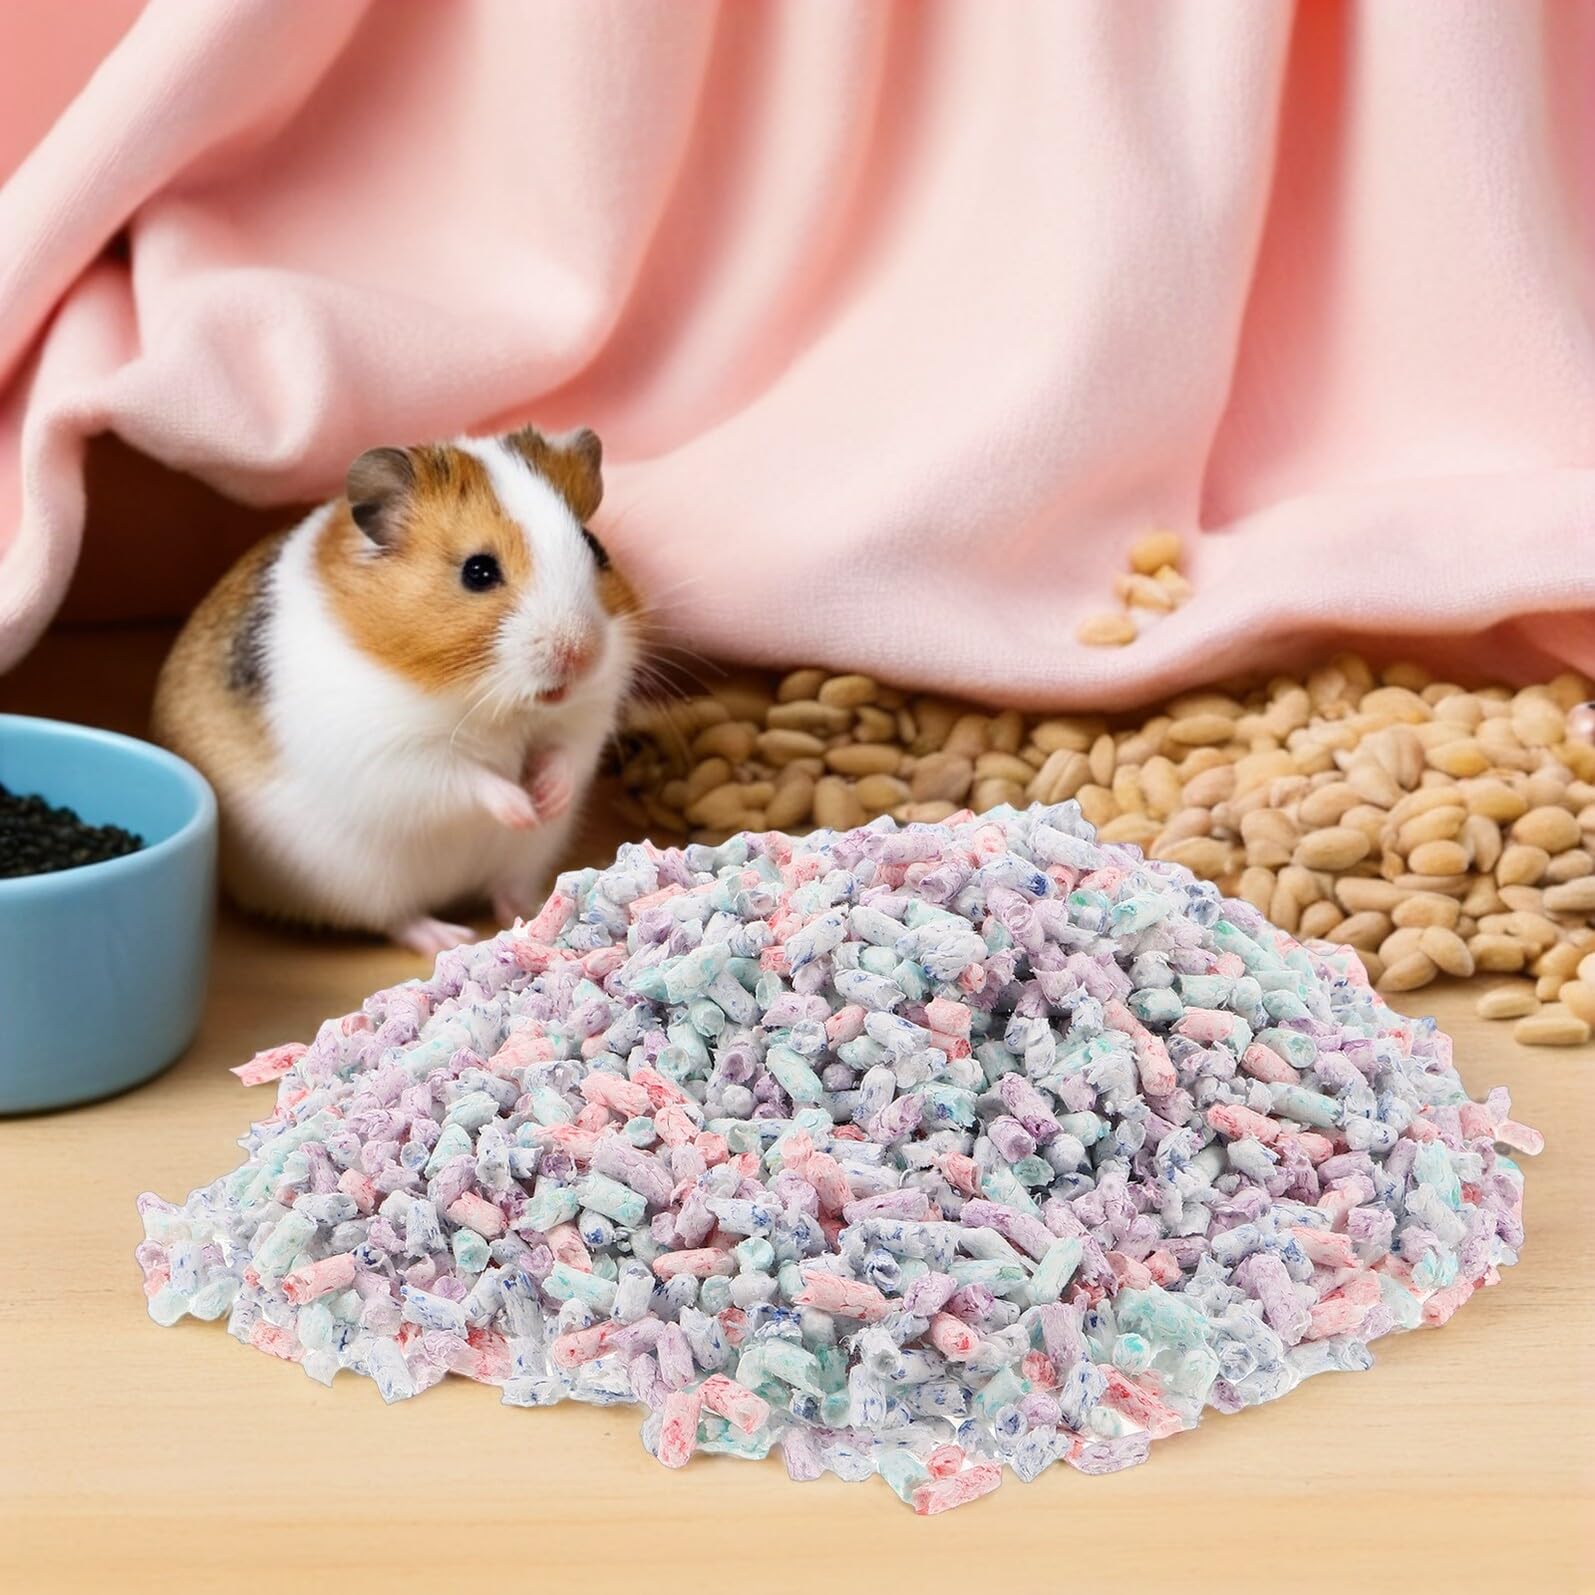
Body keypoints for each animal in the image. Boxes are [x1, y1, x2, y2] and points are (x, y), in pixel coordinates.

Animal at [152, 426, 640, 956]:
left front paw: (547, 801)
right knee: (399, 919)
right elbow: (470, 778)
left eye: (596, 549)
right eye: (478, 571)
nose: (582, 655)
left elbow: (564, 754)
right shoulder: (396, 758)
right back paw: (449, 935)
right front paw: (523, 810)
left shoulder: (584, 718)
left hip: (519, 862)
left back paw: (529, 910)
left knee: (504, 890)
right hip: (364, 884)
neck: (494, 705)